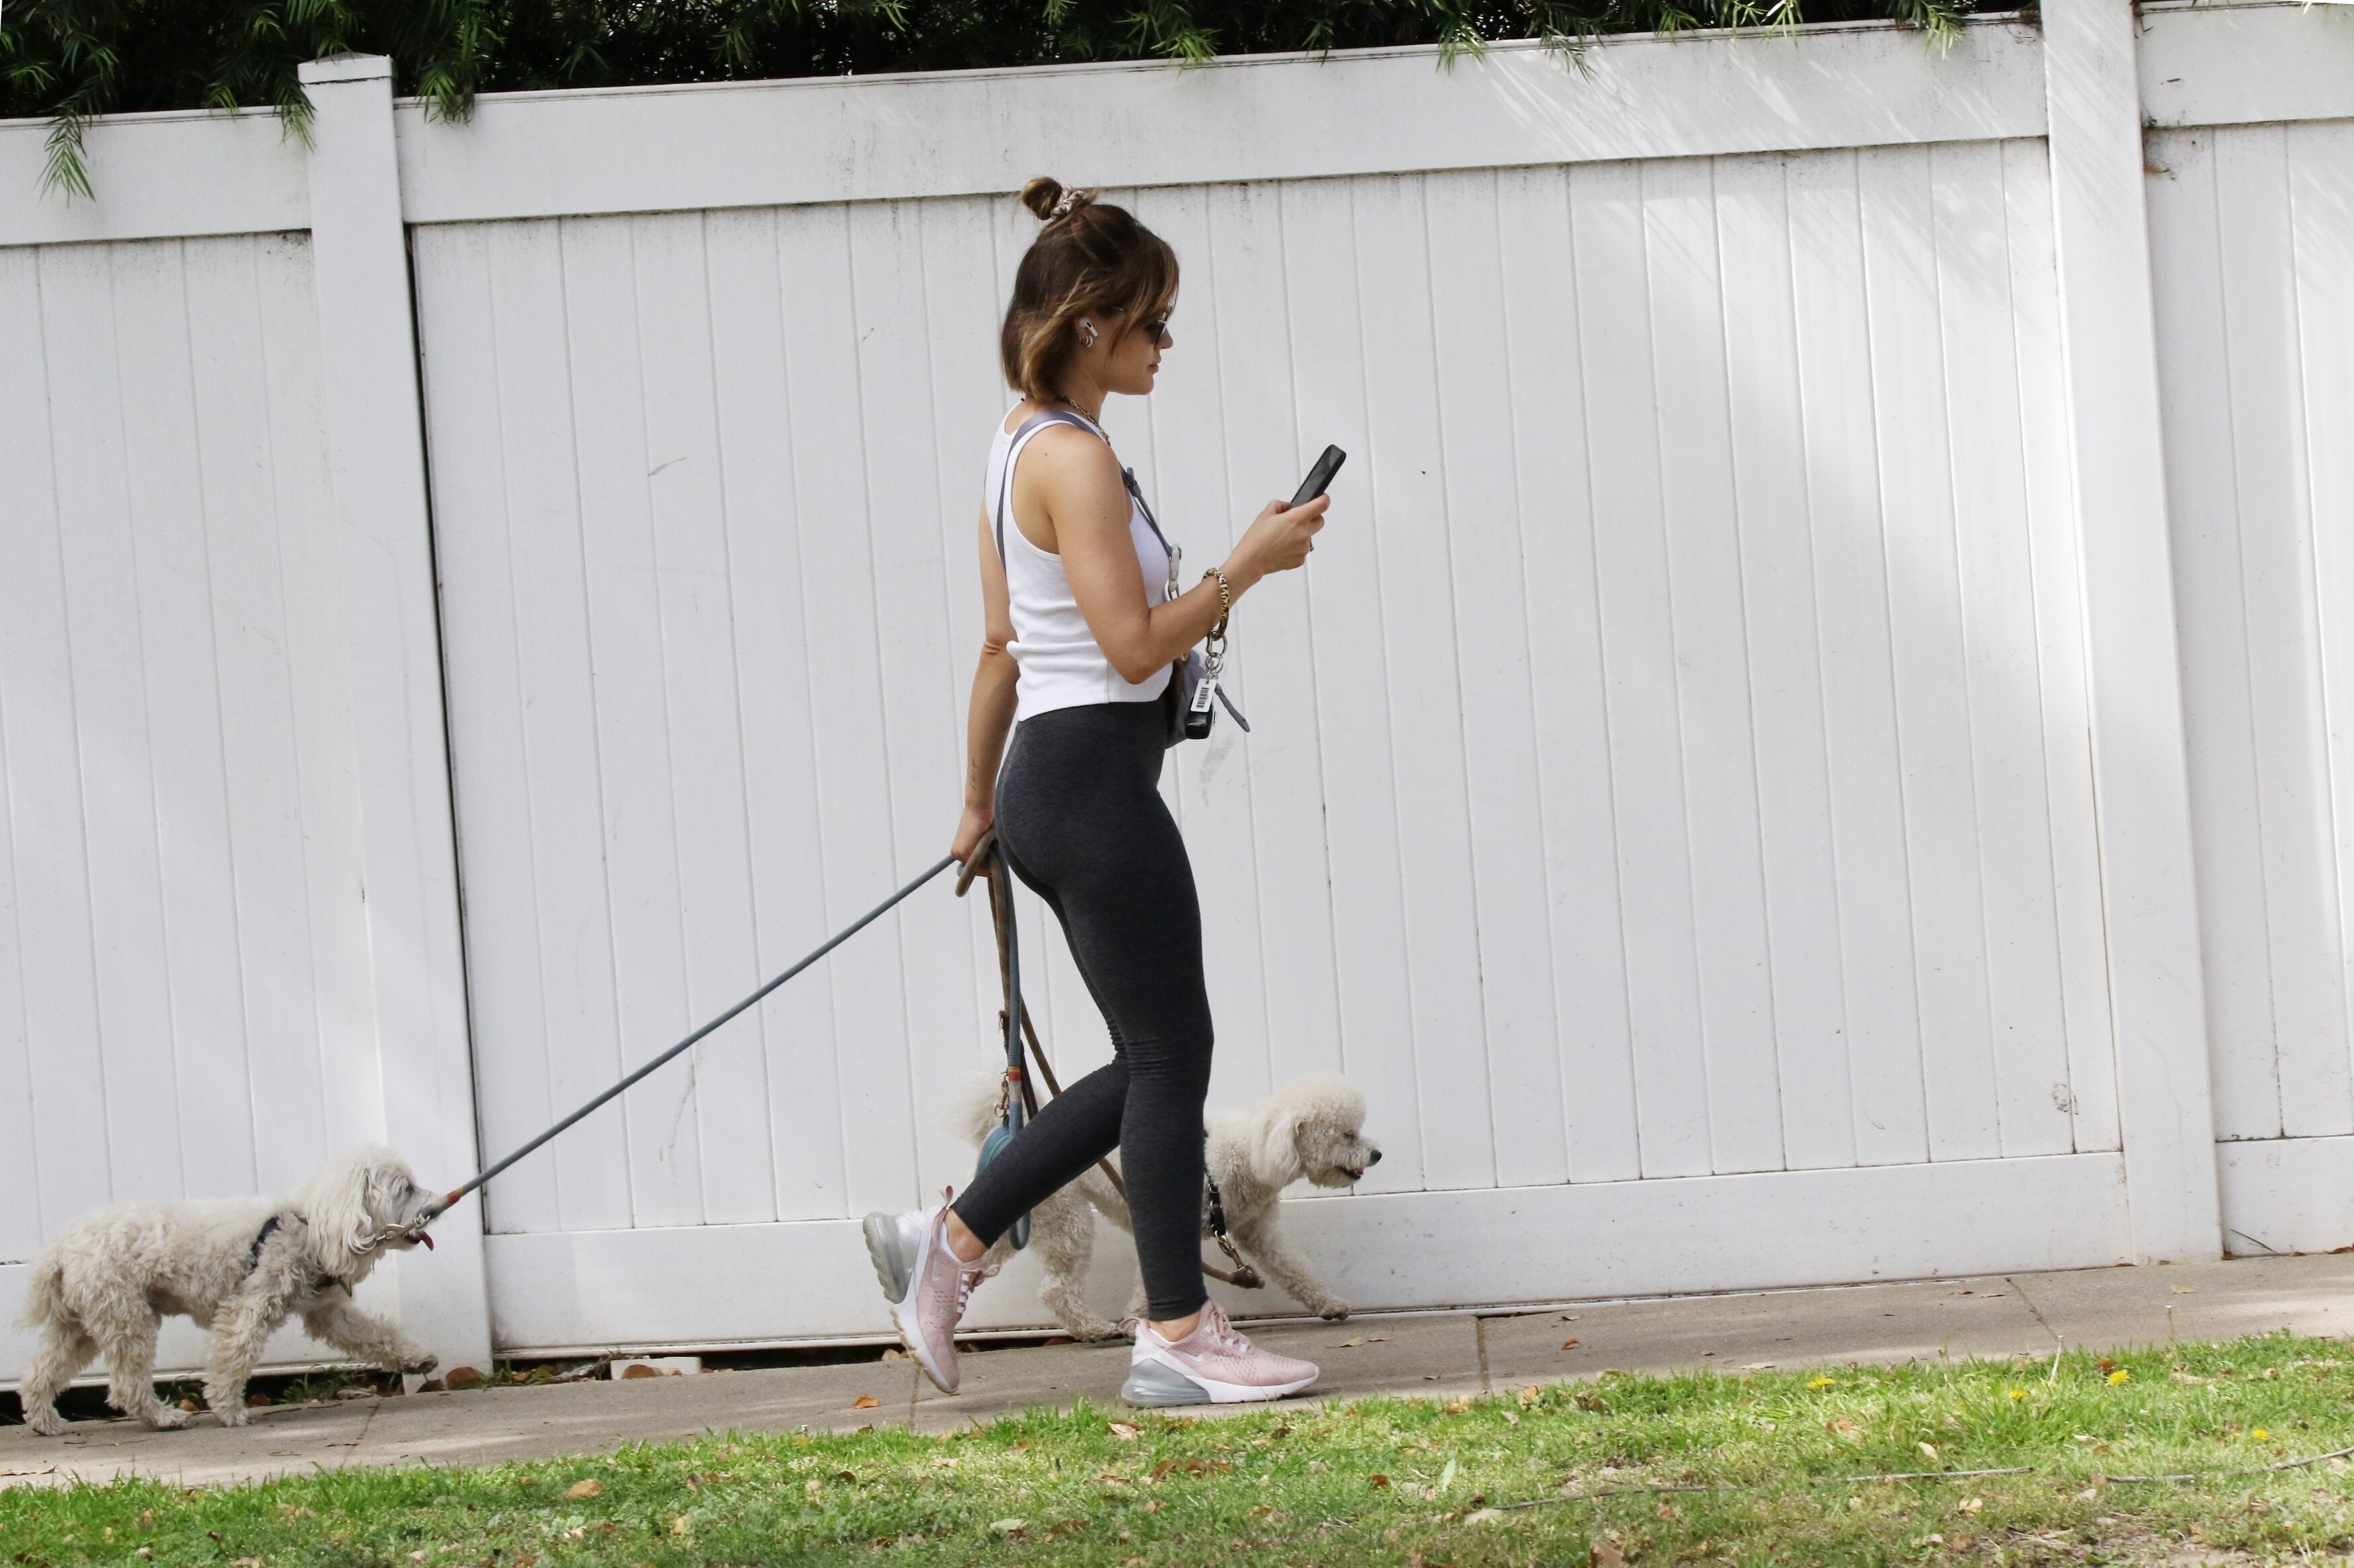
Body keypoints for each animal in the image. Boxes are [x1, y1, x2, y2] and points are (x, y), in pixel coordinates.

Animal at [15, 1146, 441, 1434]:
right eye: (405, 1188)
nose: (436, 1206)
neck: (308, 1225)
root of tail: (59, 1247)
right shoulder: (247, 1308)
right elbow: (233, 1358)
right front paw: (227, 1410)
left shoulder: (329, 1312)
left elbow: (376, 1334)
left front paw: (417, 1359)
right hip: (125, 1317)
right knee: (125, 1386)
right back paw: (163, 1418)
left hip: (83, 1325)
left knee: (41, 1370)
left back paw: (44, 1421)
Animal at [953, 1072, 1381, 1339]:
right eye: (1347, 1134)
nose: (1376, 1154)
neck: (1252, 1150)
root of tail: (1018, 1127)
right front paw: (1140, 1323)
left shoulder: (1258, 1230)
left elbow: (1295, 1269)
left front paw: (1329, 1304)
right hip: (1066, 1219)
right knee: (1055, 1290)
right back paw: (1094, 1329)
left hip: (1025, 1221)